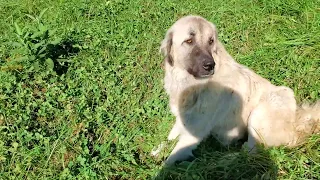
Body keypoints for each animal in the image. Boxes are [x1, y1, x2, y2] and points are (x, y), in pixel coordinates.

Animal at [158, 15, 320, 165]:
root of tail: (296, 125)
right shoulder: (183, 119)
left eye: (211, 41)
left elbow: (169, 162)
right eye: (189, 41)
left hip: (258, 115)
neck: (192, 84)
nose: (210, 65)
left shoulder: (194, 132)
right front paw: (157, 150)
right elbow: (169, 138)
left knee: (250, 153)